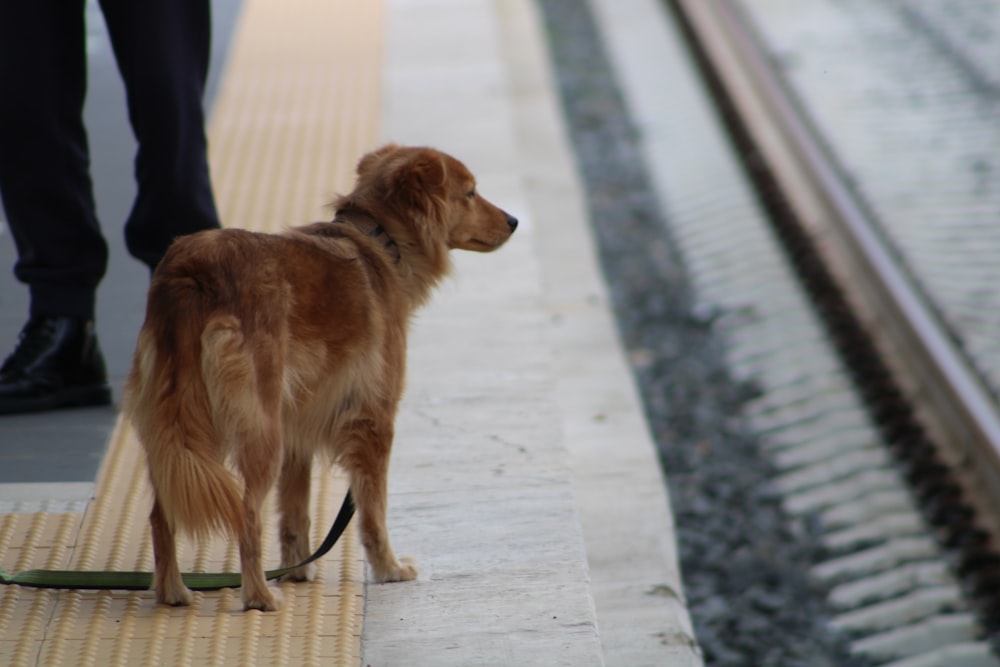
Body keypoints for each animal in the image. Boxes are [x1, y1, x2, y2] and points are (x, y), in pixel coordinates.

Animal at [124, 145, 516, 612]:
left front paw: (298, 569)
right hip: (258, 430)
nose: (514, 221)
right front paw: (388, 568)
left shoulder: (297, 426)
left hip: (185, 425)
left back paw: (174, 592)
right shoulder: (373, 420)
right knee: (246, 514)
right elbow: (373, 510)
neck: (381, 240)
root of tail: (191, 271)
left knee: (161, 512)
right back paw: (259, 596)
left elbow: (295, 509)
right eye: (471, 194)